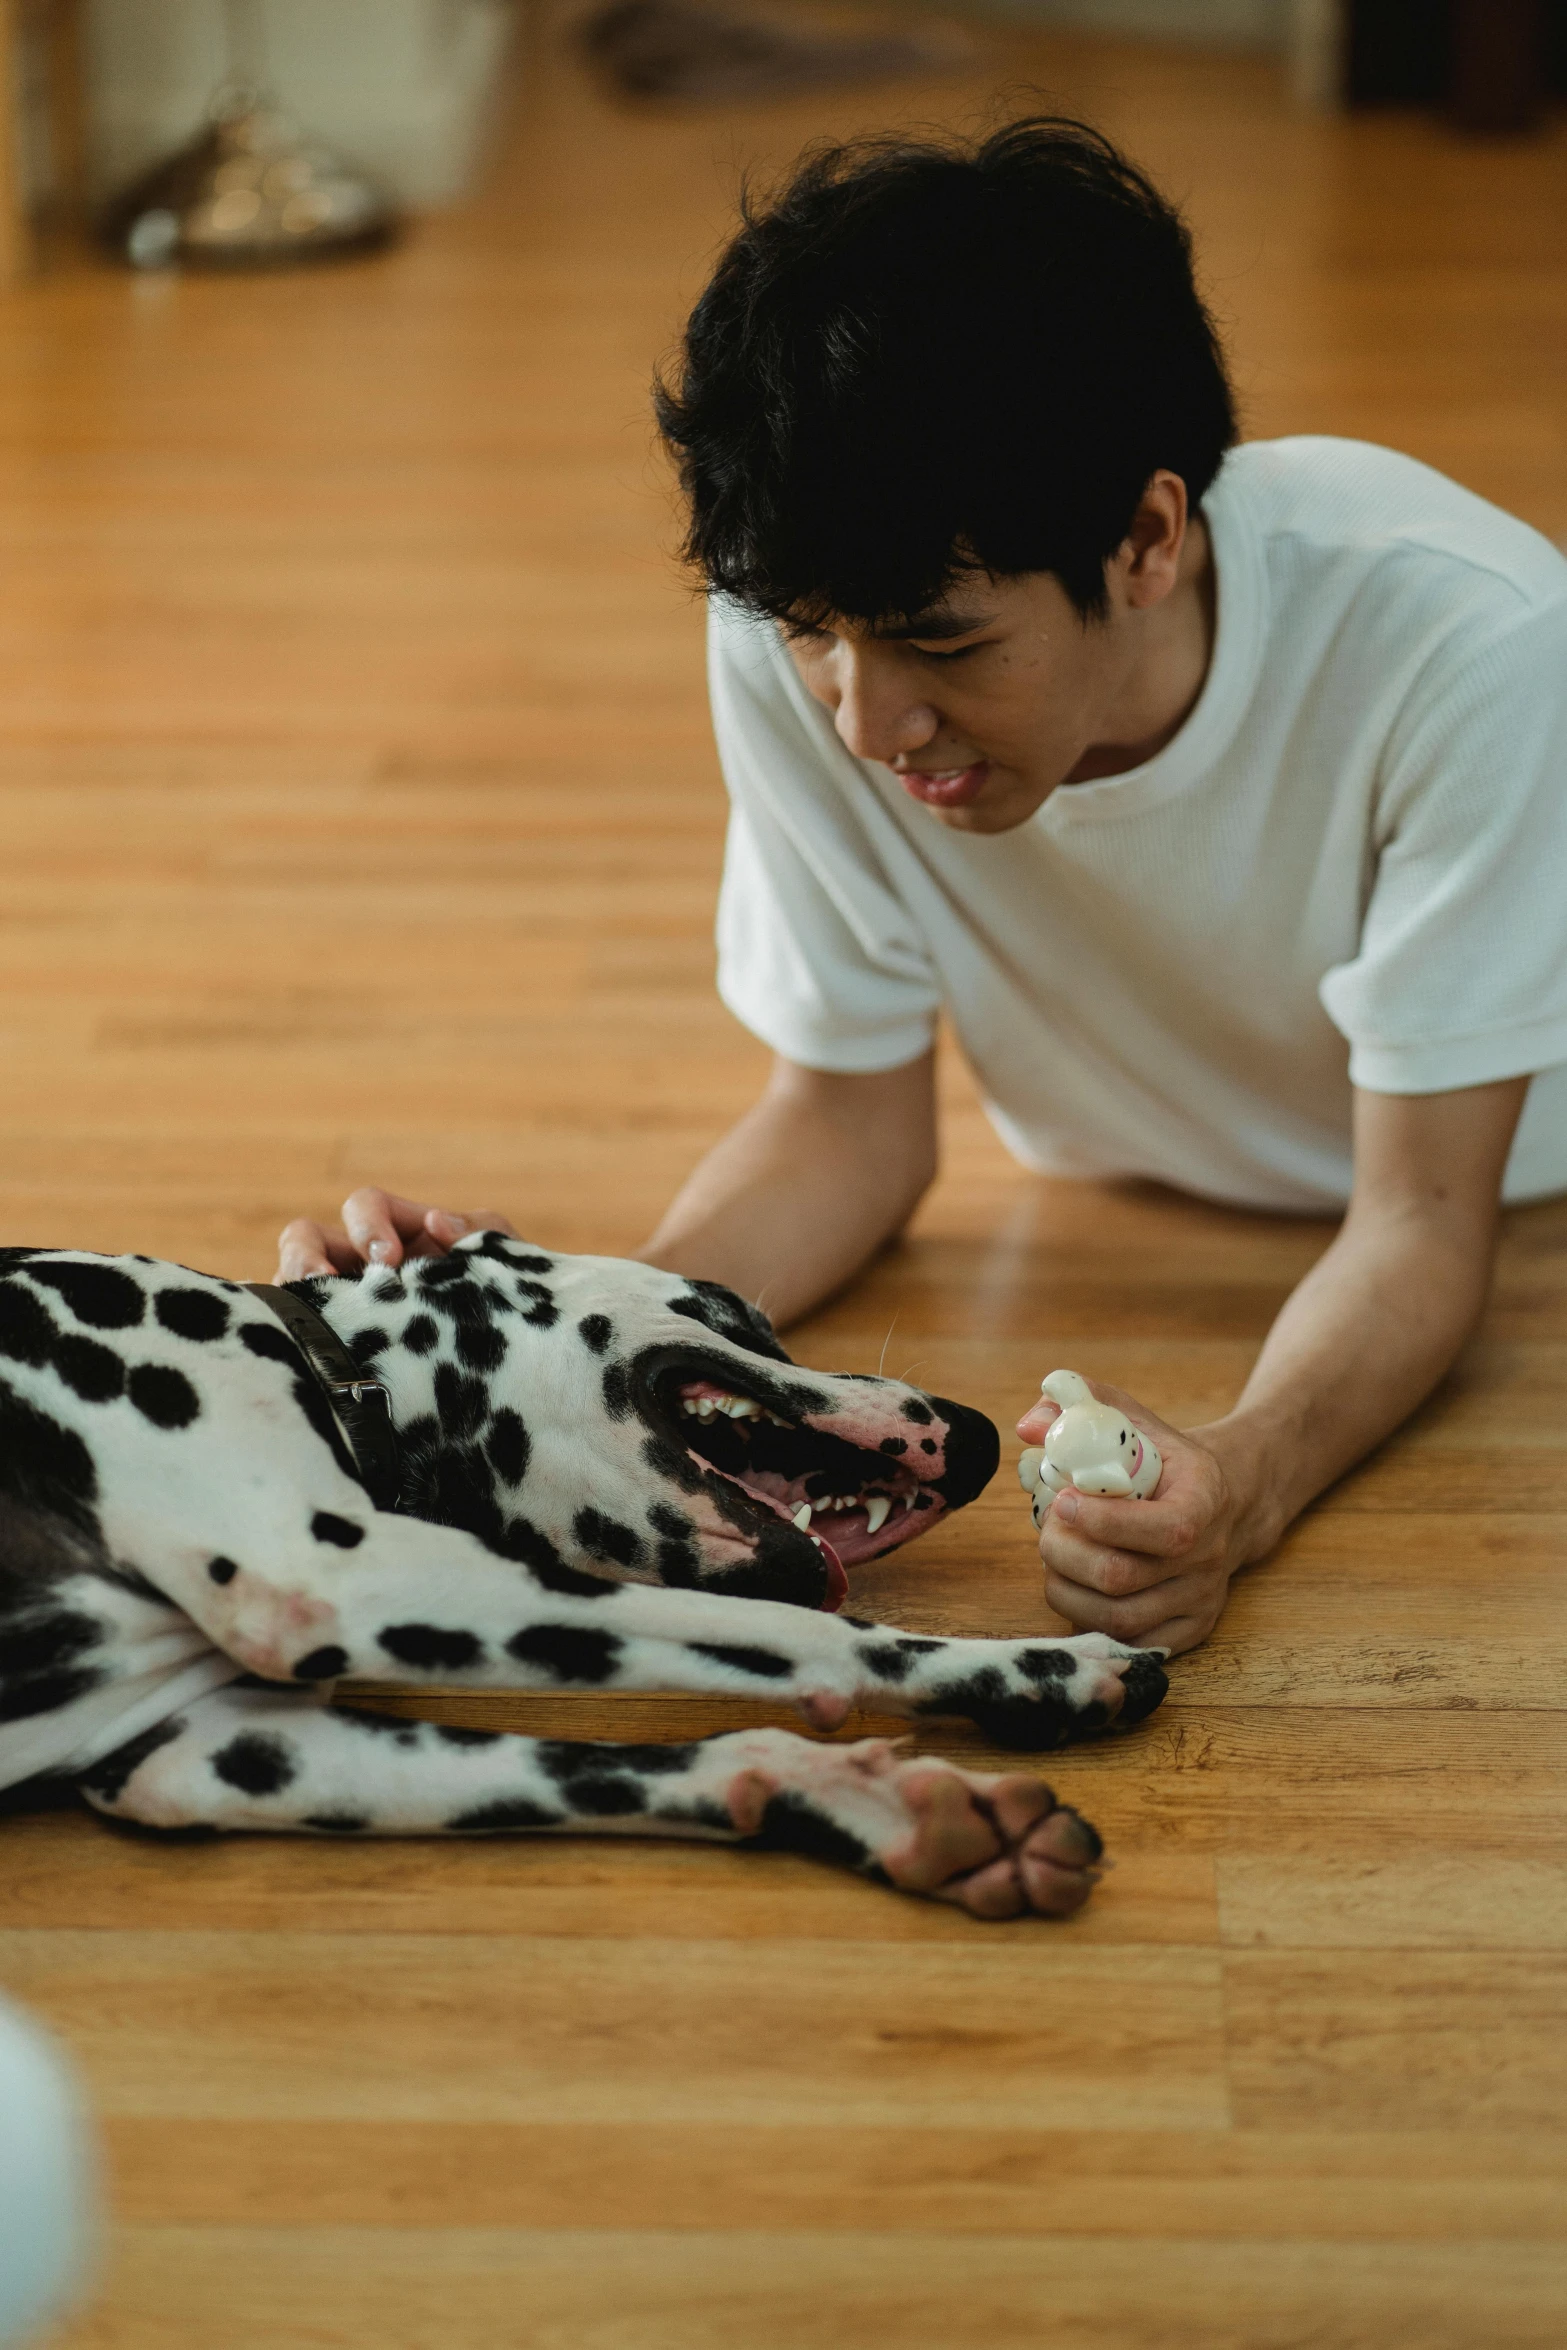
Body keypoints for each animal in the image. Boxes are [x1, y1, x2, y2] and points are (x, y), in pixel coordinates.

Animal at [0, 1240, 1169, 1917]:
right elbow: (817, 1637)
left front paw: (875, 1800)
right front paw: (1045, 1665)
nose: (977, 1437)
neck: (334, 1365)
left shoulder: (210, 1752)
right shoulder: (331, 1567)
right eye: (732, 1311)